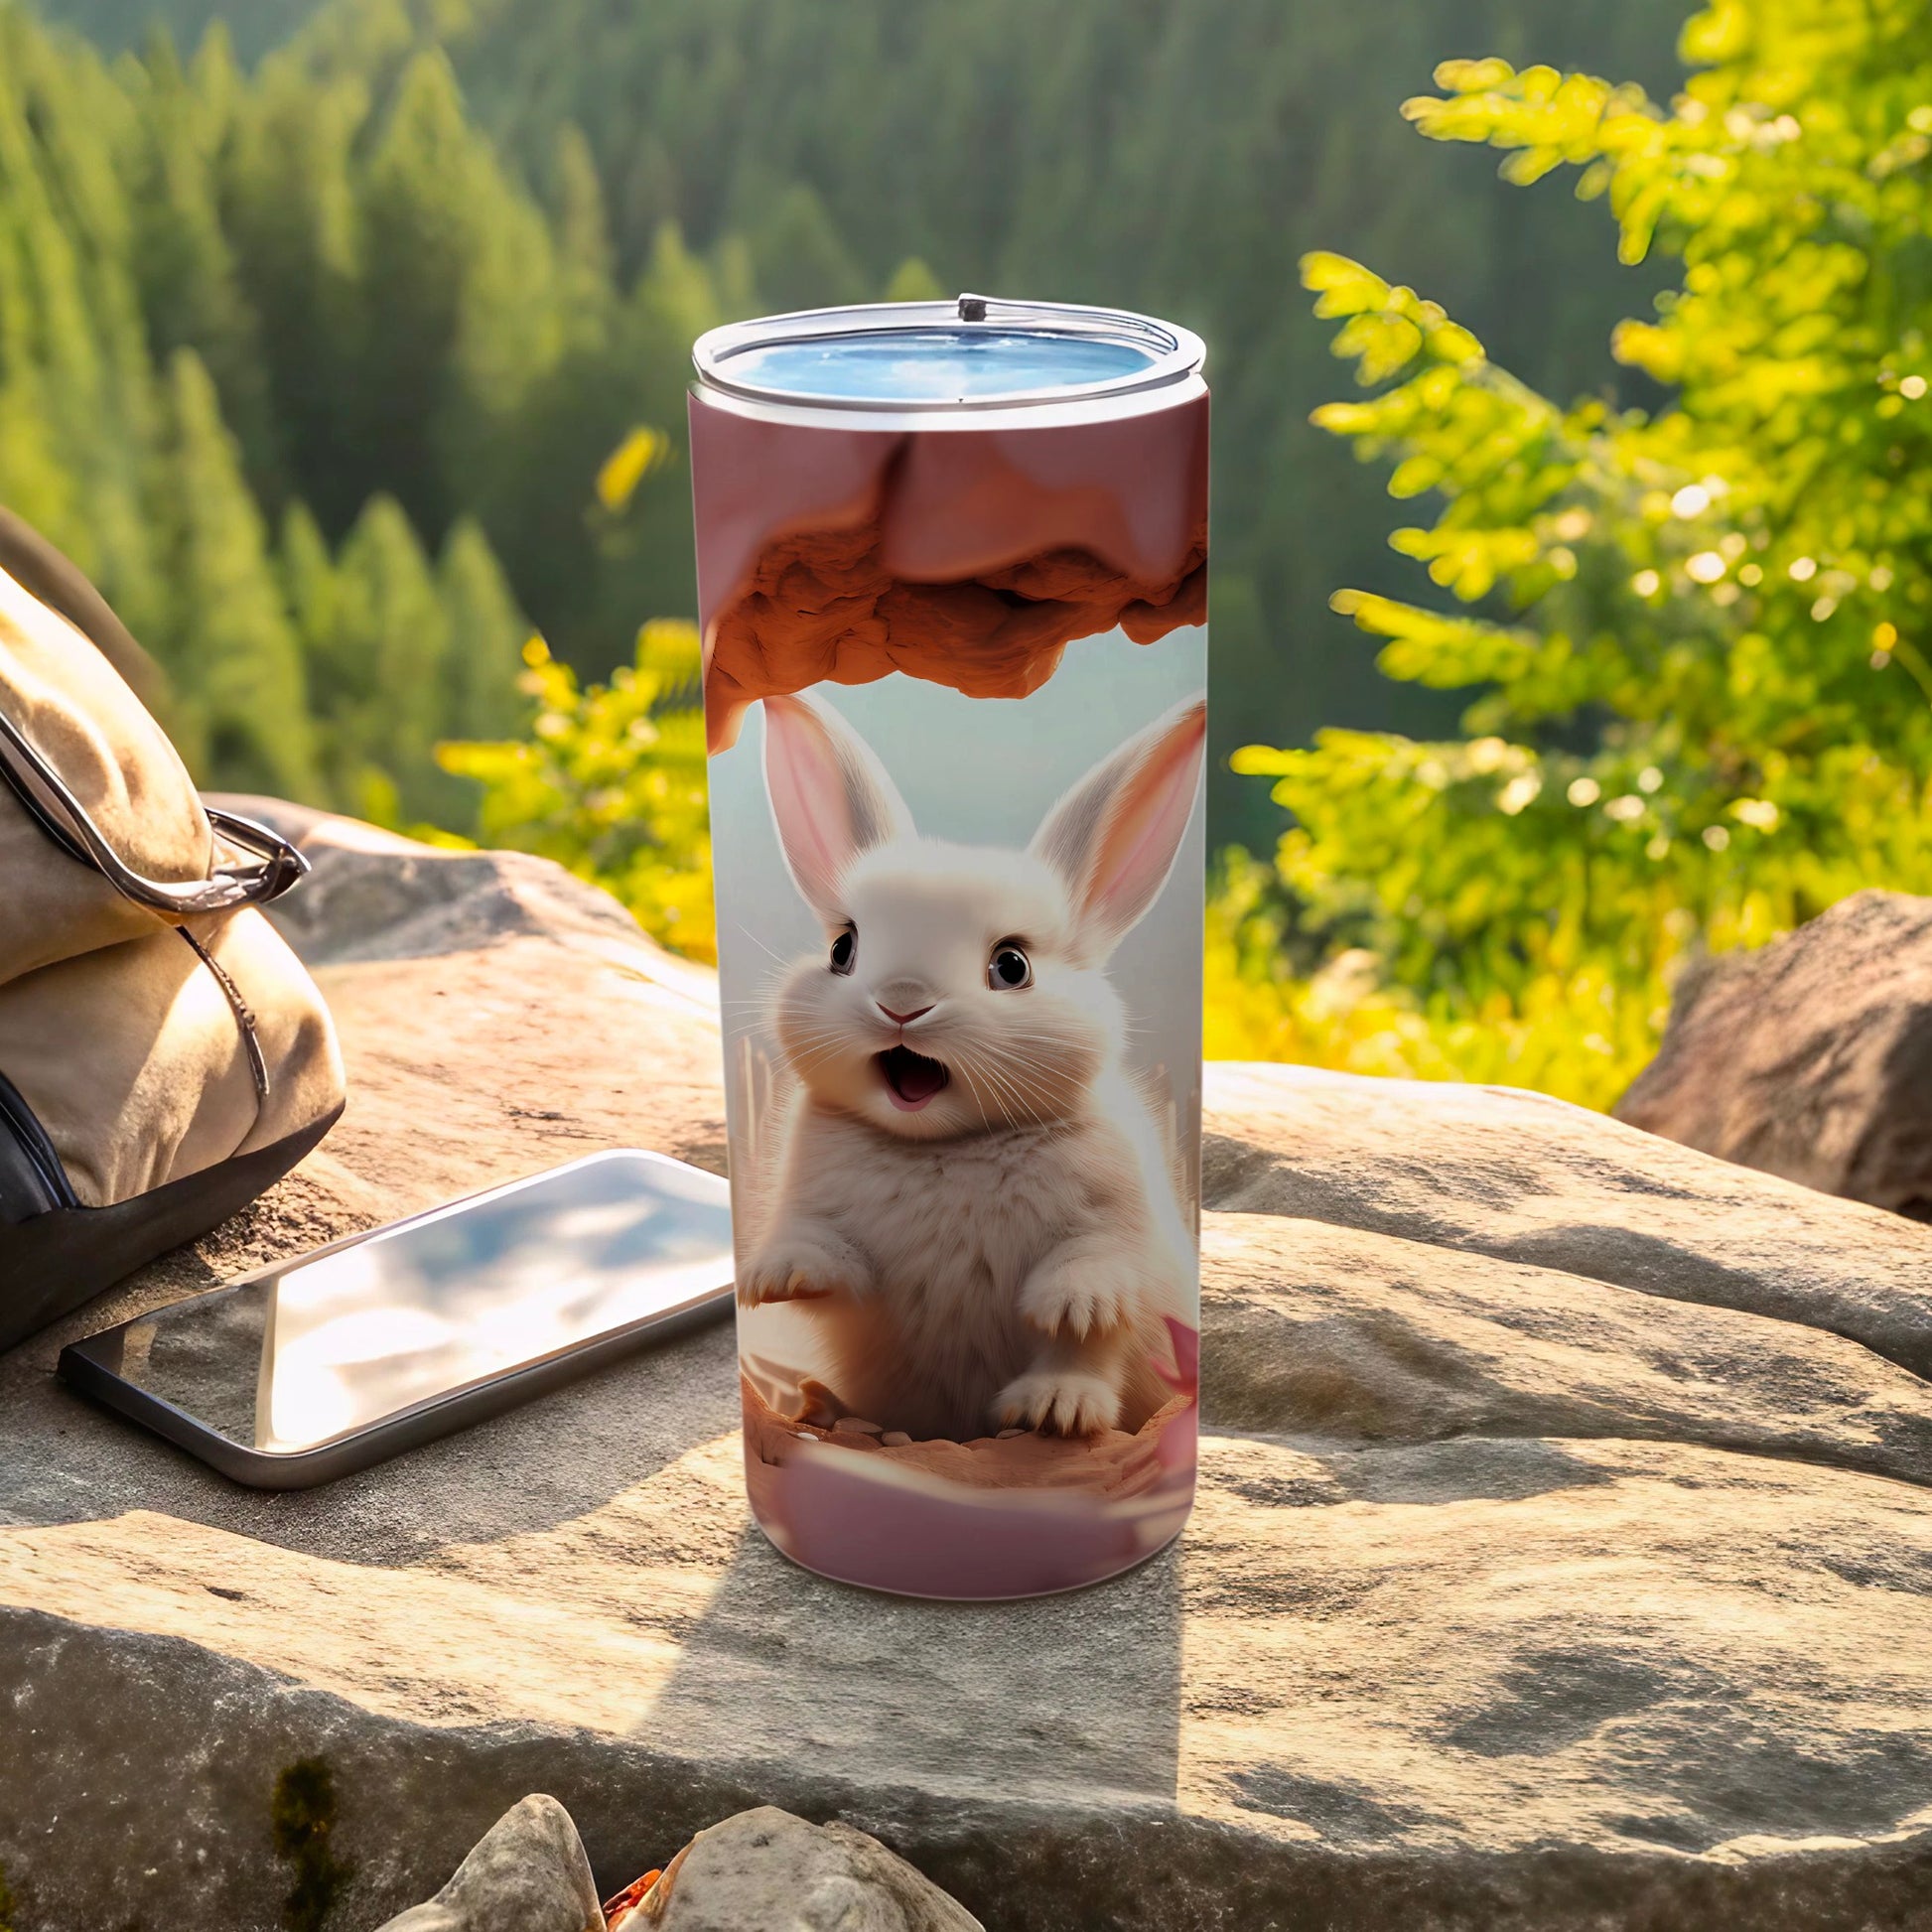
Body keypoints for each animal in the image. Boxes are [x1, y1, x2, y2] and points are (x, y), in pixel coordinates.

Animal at [736, 685, 1206, 1442]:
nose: (902, 1002)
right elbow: (826, 1259)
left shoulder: (1117, 1228)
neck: (945, 1148)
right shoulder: (823, 1224)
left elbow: (1094, 1306)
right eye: (843, 949)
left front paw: (1068, 1313)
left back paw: (1052, 1409)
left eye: (1012, 966)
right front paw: (772, 1278)